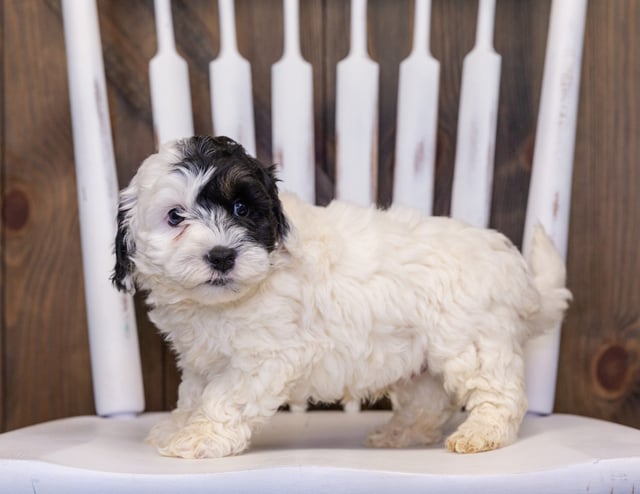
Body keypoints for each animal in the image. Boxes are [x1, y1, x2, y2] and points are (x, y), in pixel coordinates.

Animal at [112, 135, 572, 460]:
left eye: (242, 209)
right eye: (175, 216)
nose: (222, 255)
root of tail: (516, 271)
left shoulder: (263, 359)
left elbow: (223, 399)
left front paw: (198, 438)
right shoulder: (201, 360)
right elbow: (192, 395)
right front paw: (176, 426)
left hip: (474, 342)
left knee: (501, 395)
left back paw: (482, 434)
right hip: (422, 360)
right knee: (428, 401)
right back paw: (401, 433)